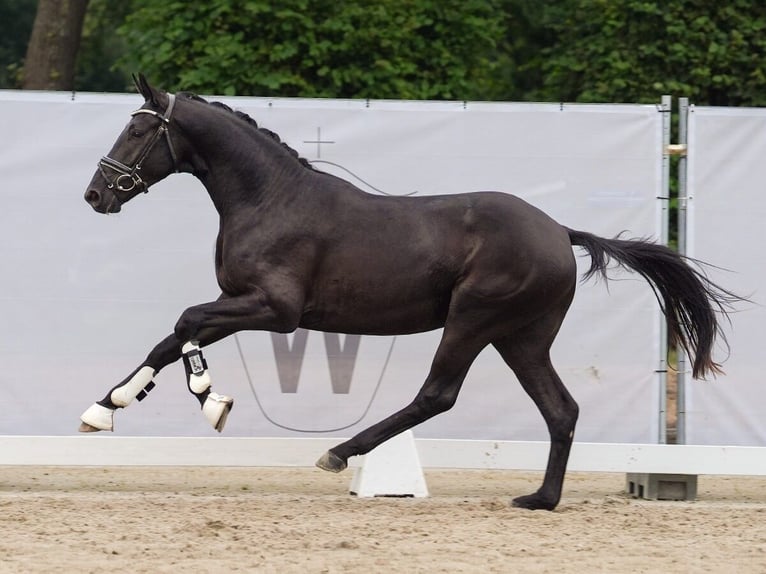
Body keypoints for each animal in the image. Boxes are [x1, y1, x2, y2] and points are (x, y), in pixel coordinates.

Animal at [82, 75, 736, 512]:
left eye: (138, 129)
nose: (96, 194)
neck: (269, 199)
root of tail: (559, 230)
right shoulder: (244, 303)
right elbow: (172, 336)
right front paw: (106, 408)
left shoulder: (276, 309)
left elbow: (186, 324)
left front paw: (209, 398)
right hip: (521, 338)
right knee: (561, 409)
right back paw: (540, 499)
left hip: (473, 320)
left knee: (438, 394)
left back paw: (341, 453)